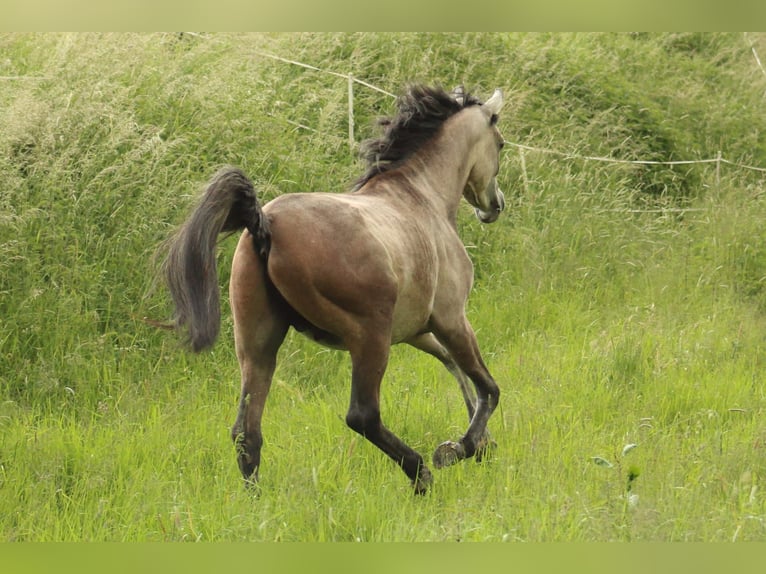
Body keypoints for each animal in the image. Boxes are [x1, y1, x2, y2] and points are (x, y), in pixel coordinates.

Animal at [163, 84, 510, 496]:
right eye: (501, 144)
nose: (494, 206)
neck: (421, 197)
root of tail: (266, 222)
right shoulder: (451, 319)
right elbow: (487, 386)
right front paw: (459, 448)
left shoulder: (418, 331)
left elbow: (455, 369)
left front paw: (483, 444)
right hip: (368, 338)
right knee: (362, 415)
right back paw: (420, 473)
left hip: (257, 344)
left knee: (246, 431)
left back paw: (256, 500)